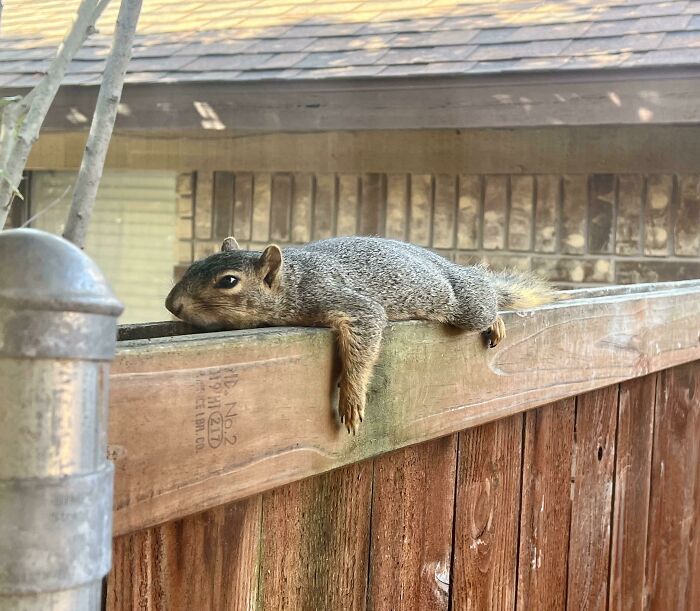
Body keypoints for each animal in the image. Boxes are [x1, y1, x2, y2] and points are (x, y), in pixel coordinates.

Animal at [167, 235, 560, 436]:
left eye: (229, 281)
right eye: (193, 265)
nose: (172, 304)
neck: (292, 281)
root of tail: (446, 265)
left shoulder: (346, 303)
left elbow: (365, 336)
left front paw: (351, 398)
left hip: (465, 303)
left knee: (483, 293)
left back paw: (494, 318)